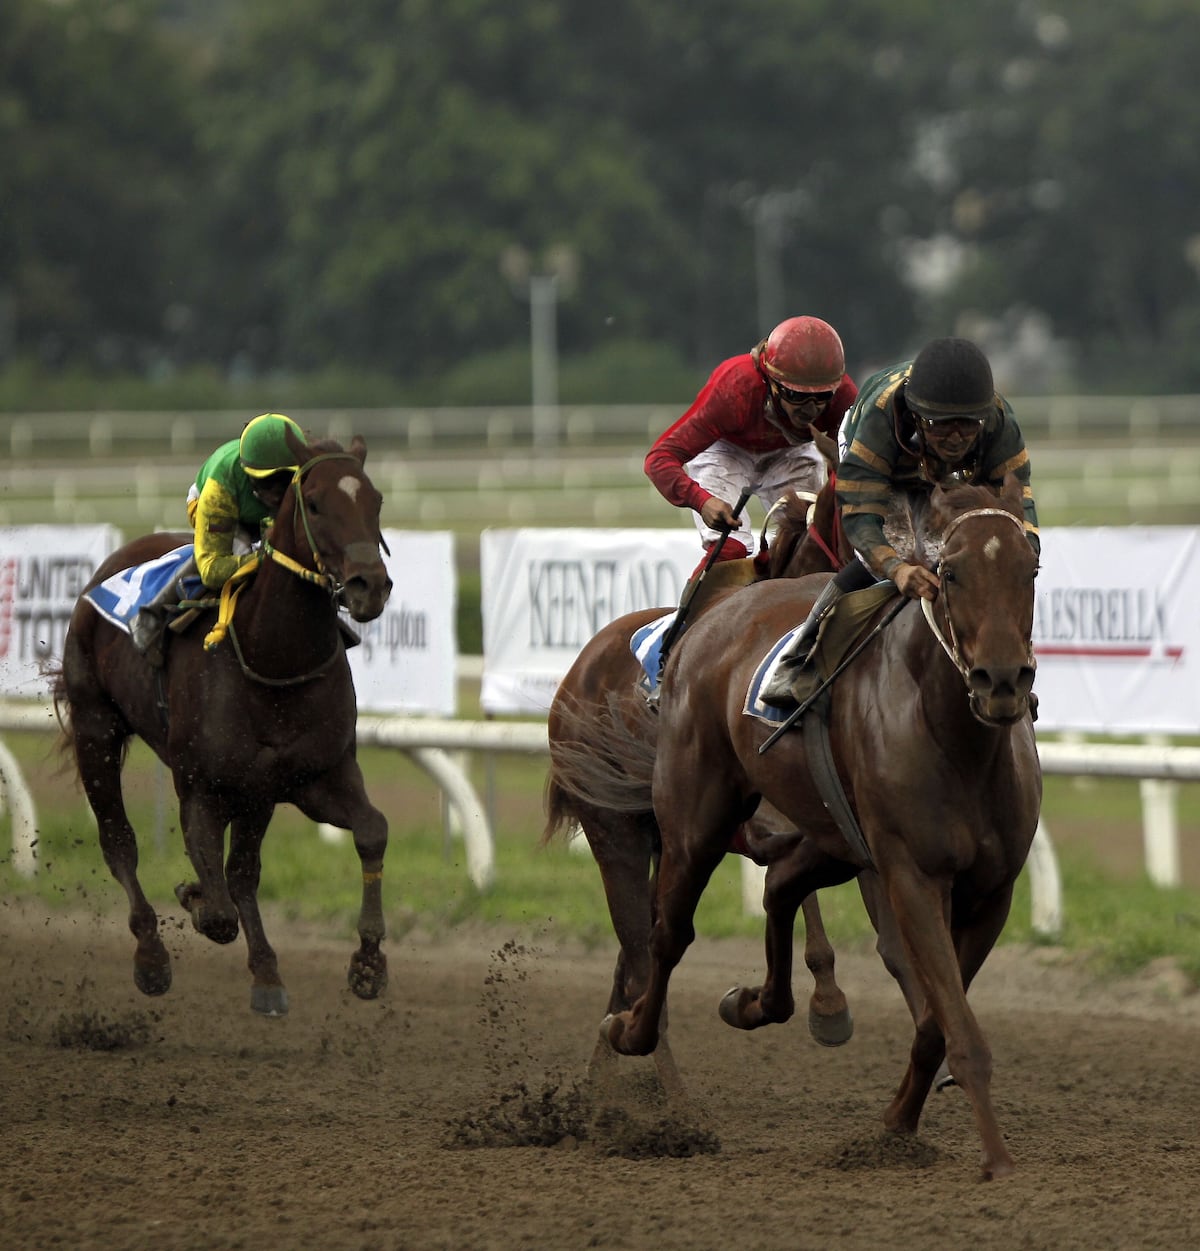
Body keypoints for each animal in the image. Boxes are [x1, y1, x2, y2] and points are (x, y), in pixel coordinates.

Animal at [53, 430, 392, 1015]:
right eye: (315, 503)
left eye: (375, 501)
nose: (369, 585)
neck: (271, 656)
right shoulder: (200, 786)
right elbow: (215, 911)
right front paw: (190, 896)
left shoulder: (313, 776)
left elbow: (372, 830)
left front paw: (368, 962)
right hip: (97, 728)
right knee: (120, 843)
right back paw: (152, 957)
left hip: (256, 794)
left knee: (242, 874)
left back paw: (267, 975)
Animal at [568, 472, 1036, 1175]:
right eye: (949, 572)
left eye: (1030, 567)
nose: (1002, 681)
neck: (959, 742)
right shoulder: (908, 870)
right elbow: (935, 993)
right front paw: (996, 1158)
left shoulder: (987, 890)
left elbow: (933, 1007)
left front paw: (897, 1121)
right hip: (661, 828)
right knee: (658, 939)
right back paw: (649, 1076)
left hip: (810, 840)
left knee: (756, 897)